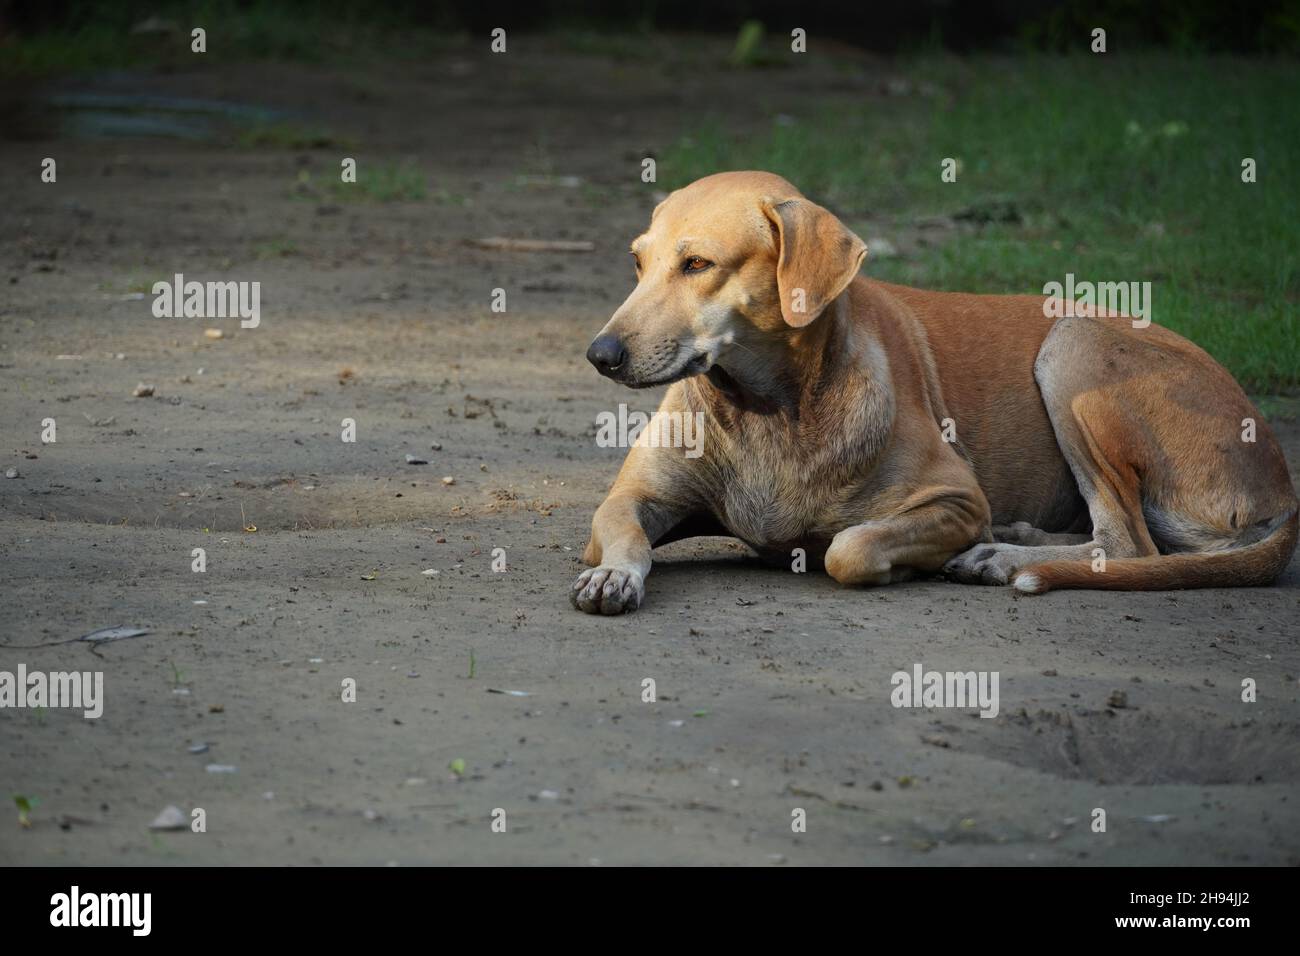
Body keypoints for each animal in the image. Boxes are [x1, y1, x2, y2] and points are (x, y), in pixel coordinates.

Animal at [572, 171, 1300, 613]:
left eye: (697, 264)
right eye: (638, 262)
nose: (600, 355)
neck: (768, 409)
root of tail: (1283, 488)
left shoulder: (954, 499)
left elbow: (850, 547)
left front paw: (903, 562)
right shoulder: (635, 499)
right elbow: (621, 532)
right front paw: (614, 574)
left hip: (1072, 343)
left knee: (1127, 543)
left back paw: (1000, 557)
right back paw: (1015, 537)